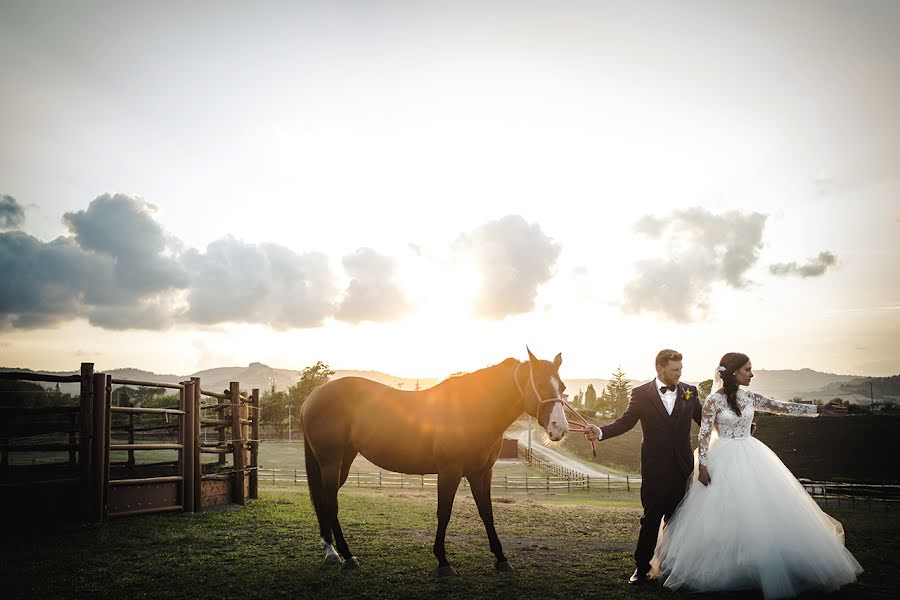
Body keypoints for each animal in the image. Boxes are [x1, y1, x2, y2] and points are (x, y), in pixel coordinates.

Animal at [300, 350, 568, 576]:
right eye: (540, 384)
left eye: (562, 387)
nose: (560, 428)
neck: (474, 409)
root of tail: (312, 397)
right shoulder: (450, 471)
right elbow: (444, 512)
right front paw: (443, 561)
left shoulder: (481, 472)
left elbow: (487, 512)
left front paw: (501, 558)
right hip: (331, 462)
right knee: (330, 503)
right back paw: (347, 556)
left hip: (343, 462)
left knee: (324, 501)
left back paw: (331, 550)